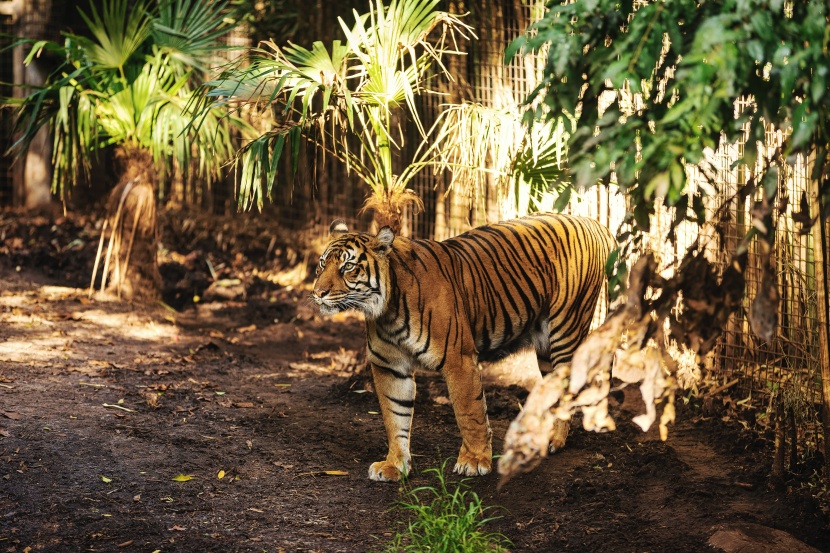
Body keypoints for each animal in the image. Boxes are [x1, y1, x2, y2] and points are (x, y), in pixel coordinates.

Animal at [312, 211, 616, 478]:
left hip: (566, 329)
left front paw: (474, 461)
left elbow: (469, 413)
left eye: (348, 267)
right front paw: (394, 466)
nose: (318, 293)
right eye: (322, 264)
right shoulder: (388, 366)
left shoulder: (458, 359)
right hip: (545, 347)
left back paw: (554, 439)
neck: (387, 311)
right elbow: (394, 415)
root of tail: (593, 222)